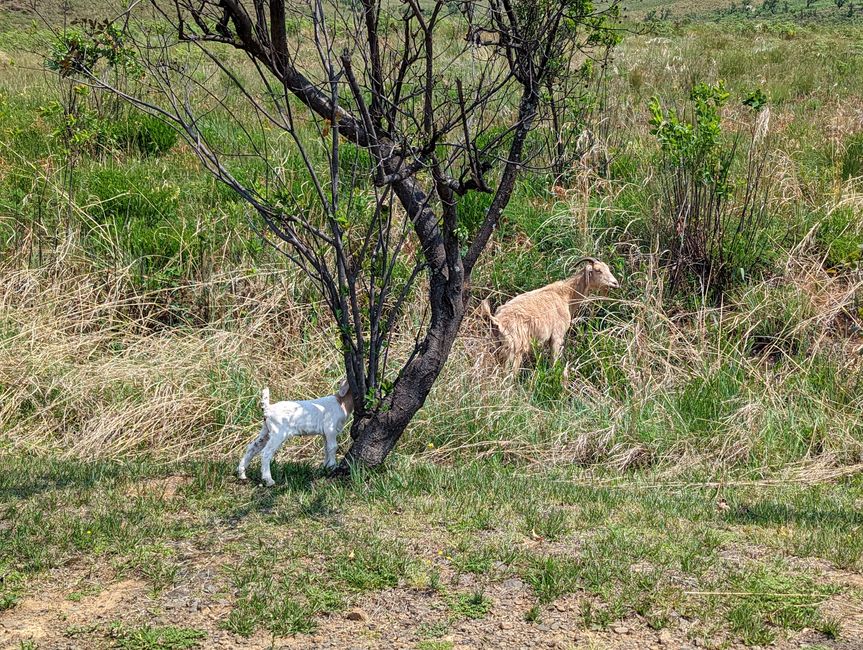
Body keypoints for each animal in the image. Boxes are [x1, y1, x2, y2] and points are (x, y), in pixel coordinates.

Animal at [479, 257, 619, 371]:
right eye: (598, 270)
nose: (615, 283)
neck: (565, 295)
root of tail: (498, 320)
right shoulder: (557, 336)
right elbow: (554, 360)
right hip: (515, 348)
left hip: (497, 344)